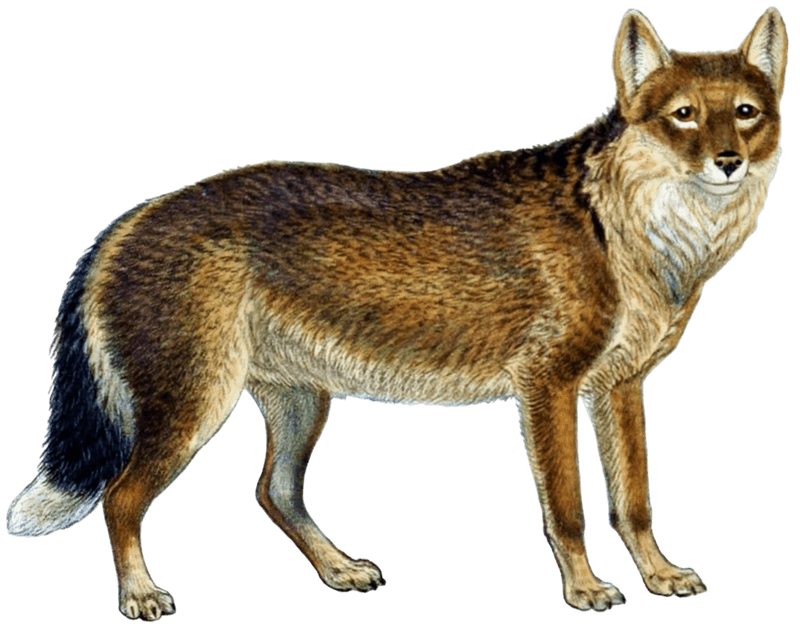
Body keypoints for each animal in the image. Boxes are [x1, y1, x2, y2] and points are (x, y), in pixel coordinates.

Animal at [7, 6, 787, 620]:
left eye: (745, 114)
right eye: (682, 116)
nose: (726, 162)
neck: (624, 228)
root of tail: (130, 220)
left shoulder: (620, 389)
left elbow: (634, 503)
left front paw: (659, 576)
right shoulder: (550, 387)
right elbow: (568, 511)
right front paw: (585, 590)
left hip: (299, 403)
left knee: (274, 493)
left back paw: (338, 570)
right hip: (197, 407)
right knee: (122, 497)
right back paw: (140, 595)